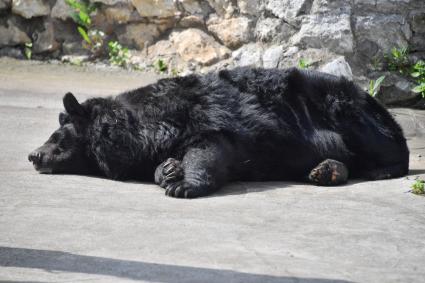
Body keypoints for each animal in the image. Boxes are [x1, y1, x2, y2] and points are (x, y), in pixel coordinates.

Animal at [29, 67, 408, 199]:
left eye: (57, 138)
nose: (33, 155)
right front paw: (168, 169)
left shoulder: (206, 115)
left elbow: (212, 145)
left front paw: (183, 184)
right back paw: (326, 169)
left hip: (343, 106)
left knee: (376, 139)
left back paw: (380, 167)